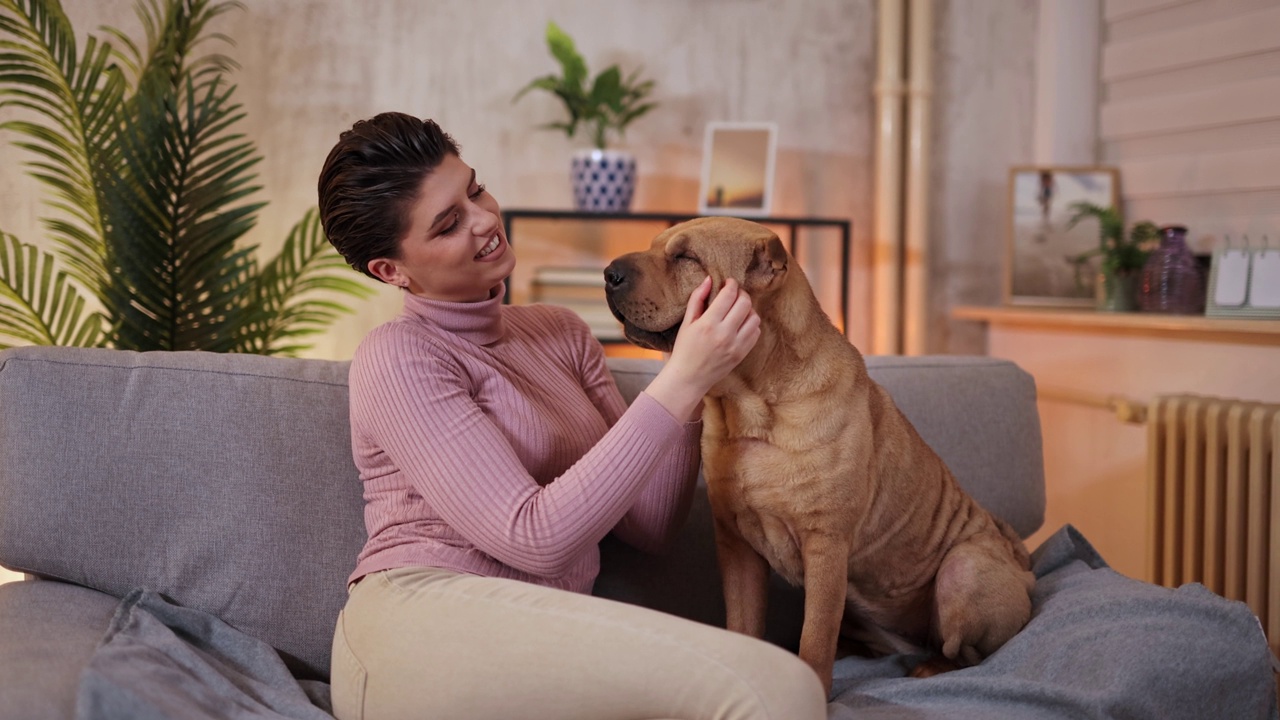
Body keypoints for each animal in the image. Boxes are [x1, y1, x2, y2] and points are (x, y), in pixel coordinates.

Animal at [604, 217, 1034, 691]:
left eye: (686, 257)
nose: (609, 273)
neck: (751, 407)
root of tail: (1024, 567)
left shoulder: (825, 544)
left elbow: (815, 637)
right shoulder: (736, 546)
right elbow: (744, 623)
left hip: (963, 570)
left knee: (964, 652)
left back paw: (930, 667)